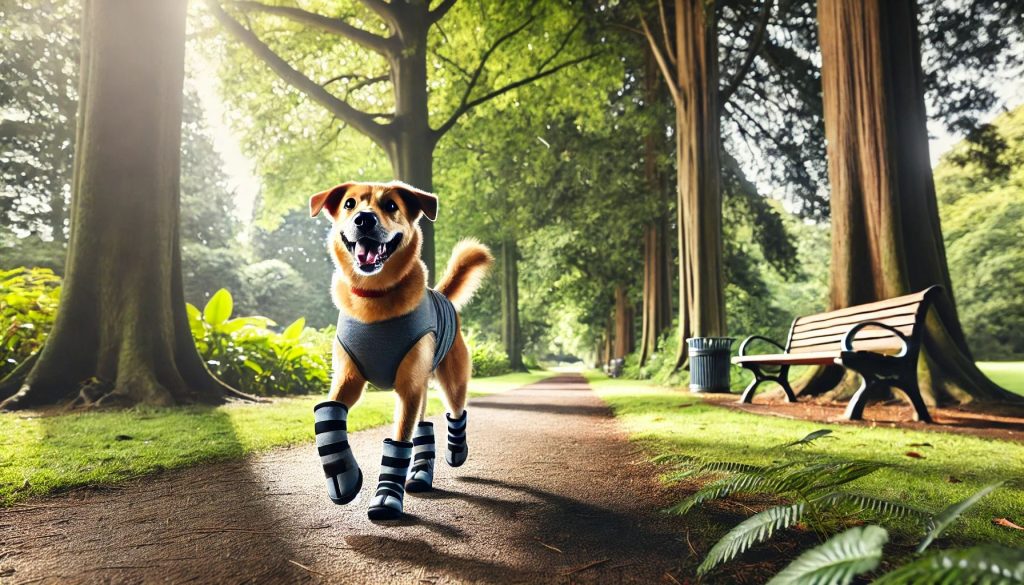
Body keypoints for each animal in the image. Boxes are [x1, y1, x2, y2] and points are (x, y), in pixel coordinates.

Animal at [307, 181, 491, 520]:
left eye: (391, 205)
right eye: (350, 203)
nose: (364, 219)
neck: (374, 298)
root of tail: (442, 296)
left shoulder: (408, 388)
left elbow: (398, 442)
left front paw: (386, 497)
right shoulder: (348, 379)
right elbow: (328, 416)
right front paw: (343, 474)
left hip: (451, 380)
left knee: (456, 413)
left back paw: (456, 452)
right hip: (421, 387)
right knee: (424, 427)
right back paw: (420, 474)